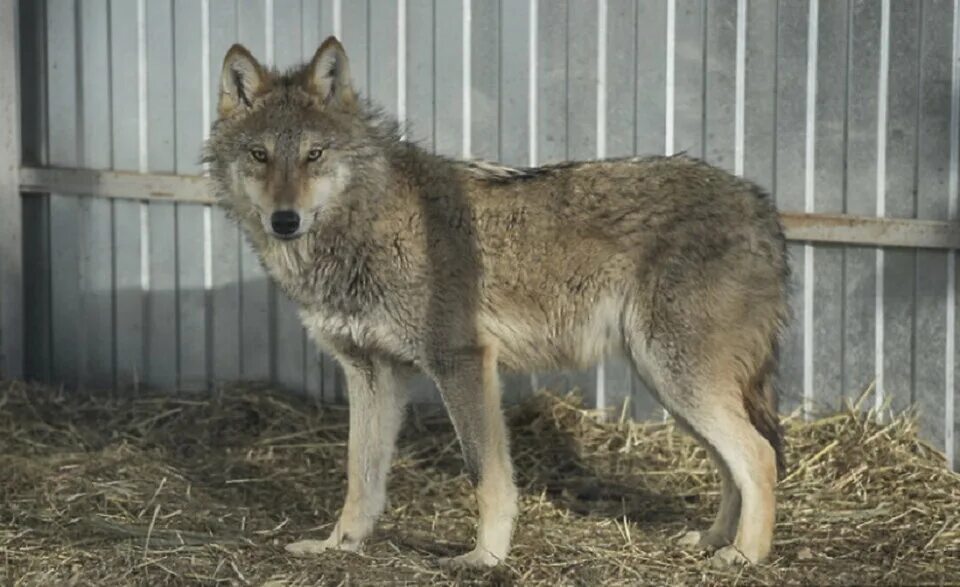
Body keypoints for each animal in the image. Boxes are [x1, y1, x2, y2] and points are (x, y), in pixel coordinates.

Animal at [201, 36, 788, 568]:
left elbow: (486, 474)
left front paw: (484, 558)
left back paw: (744, 557)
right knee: (733, 464)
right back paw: (712, 541)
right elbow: (360, 478)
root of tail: (763, 207)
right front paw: (338, 547)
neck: (367, 224)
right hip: (671, 386)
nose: (285, 220)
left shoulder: (462, 362)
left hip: (678, 380)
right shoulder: (371, 372)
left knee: (758, 456)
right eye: (259, 156)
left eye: (314, 155)